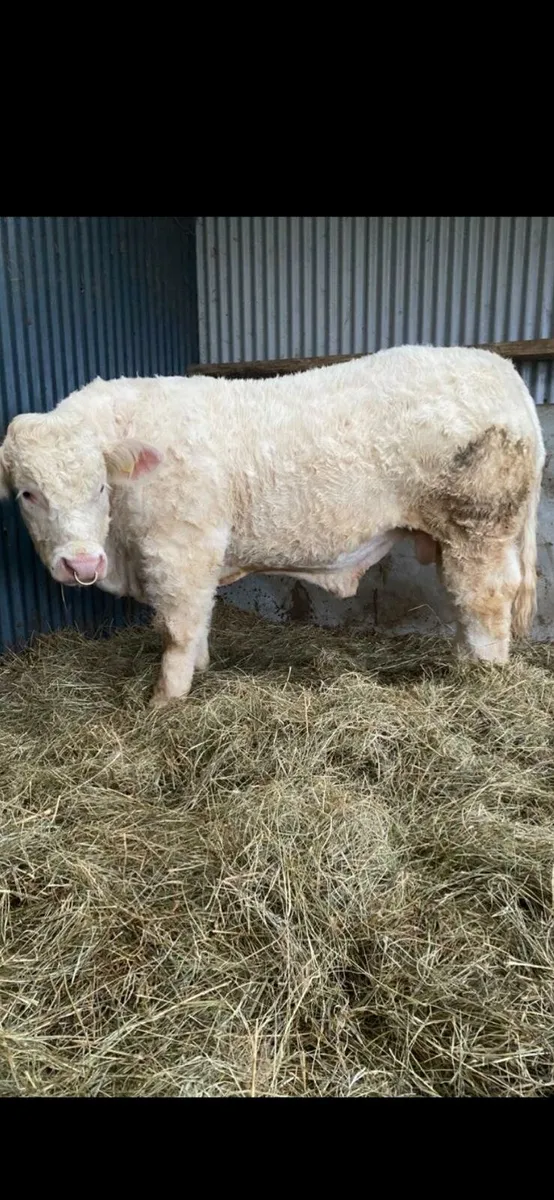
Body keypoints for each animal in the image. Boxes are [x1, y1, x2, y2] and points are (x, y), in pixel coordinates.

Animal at [0, 345, 545, 706]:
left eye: (99, 487)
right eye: (28, 493)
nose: (81, 563)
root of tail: (501, 369)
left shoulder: (180, 550)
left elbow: (177, 628)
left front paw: (164, 700)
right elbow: (200, 619)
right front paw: (201, 668)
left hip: (478, 529)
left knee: (485, 600)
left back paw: (481, 674)